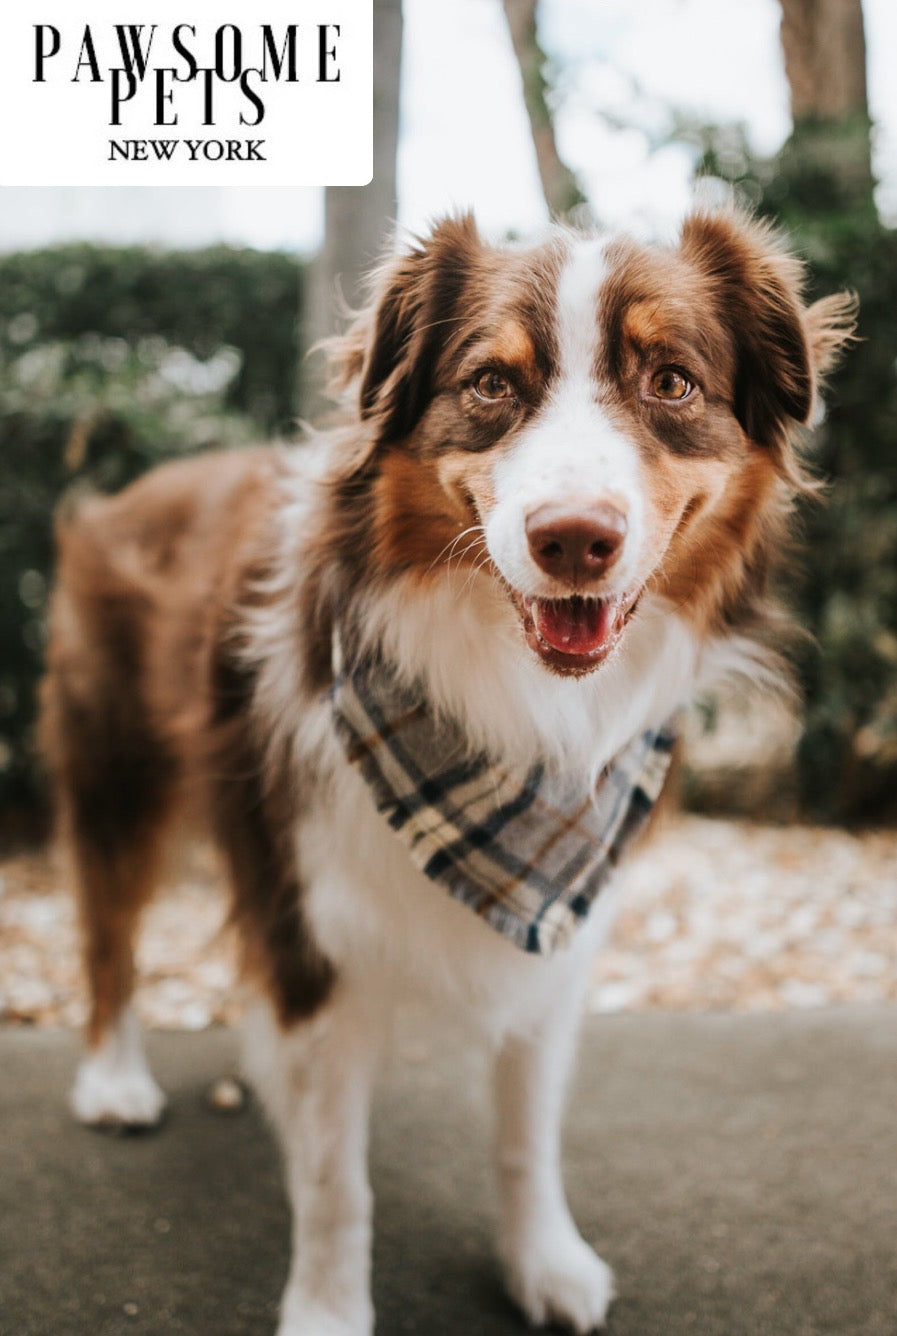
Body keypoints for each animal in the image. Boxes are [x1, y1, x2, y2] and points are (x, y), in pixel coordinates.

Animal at [40, 211, 855, 1336]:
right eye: (491, 383)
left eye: (672, 382)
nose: (574, 540)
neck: (511, 712)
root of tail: (133, 487)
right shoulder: (315, 918)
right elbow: (336, 1179)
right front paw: (328, 1309)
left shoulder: (556, 934)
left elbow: (526, 1135)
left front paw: (542, 1261)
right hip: (114, 770)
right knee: (109, 934)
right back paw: (114, 1080)